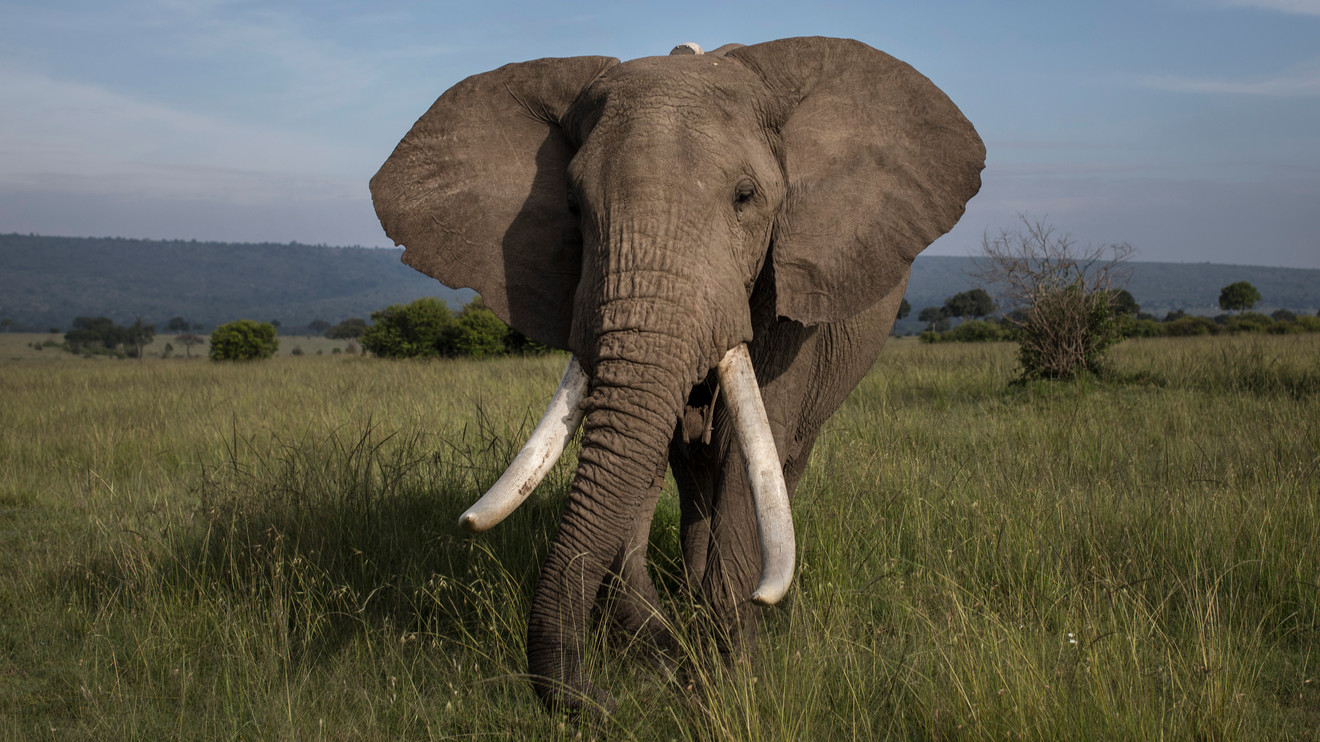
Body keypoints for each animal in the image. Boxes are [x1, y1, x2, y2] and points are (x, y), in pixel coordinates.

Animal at [370, 36, 984, 712]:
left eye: (746, 197)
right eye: (573, 208)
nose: (598, 703)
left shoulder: (792, 287)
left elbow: (748, 449)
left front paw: (728, 675)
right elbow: (644, 444)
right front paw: (675, 658)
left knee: (778, 457)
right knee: (692, 468)